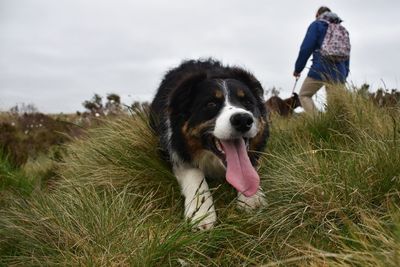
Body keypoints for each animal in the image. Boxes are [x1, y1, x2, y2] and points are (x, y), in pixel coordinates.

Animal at [150, 59, 268, 230]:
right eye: (211, 104)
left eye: (247, 102)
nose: (243, 120)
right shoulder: (174, 149)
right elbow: (193, 173)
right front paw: (201, 213)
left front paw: (252, 198)